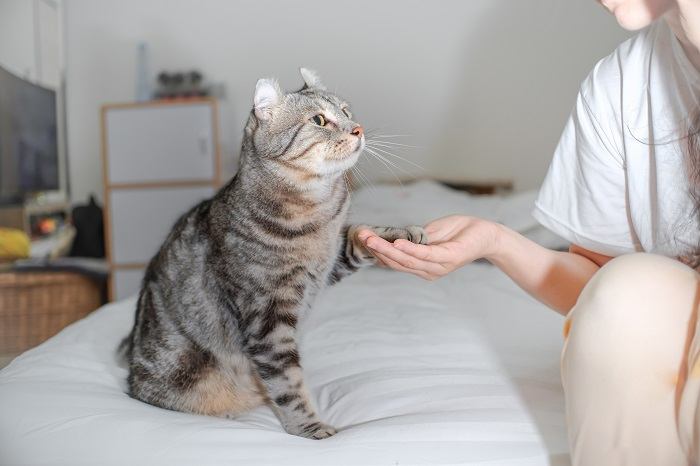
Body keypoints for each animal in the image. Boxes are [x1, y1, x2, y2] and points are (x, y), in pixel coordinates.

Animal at [120, 67, 426, 438]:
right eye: (319, 120)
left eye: (346, 111)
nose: (358, 128)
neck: (317, 213)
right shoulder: (268, 318)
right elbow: (287, 382)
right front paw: (311, 427)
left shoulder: (330, 260)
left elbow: (359, 235)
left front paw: (398, 235)